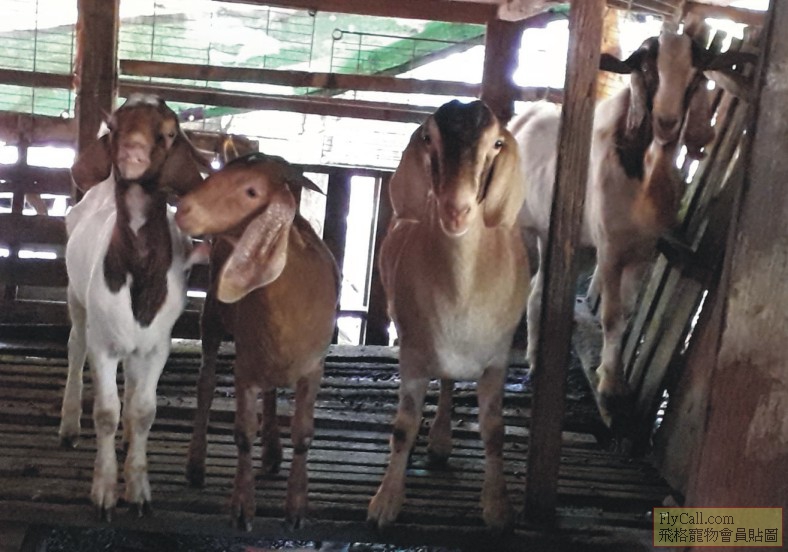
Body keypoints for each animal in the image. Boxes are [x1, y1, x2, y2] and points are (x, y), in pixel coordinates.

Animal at [58, 94, 207, 519]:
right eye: (114, 126)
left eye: (169, 132)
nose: (132, 152)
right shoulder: (103, 344)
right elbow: (106, 412)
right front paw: (105, 491)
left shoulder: (158, 345)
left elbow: (144, 411)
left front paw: (138, 489)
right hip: (78, 300)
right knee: (75, 348)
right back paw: (69, 426)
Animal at [175, 153, 339, 531]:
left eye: (251, 191)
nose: (183, 210)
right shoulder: (245, 368)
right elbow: (243, 435)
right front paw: (241, 507)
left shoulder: (313, 370)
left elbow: (303, 434)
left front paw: (296, 509)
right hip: (213, 314)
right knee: (206, 385)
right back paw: (195, 464)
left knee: (272, 391)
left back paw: (273, 454)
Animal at [367, 100, 528, 532]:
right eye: (428, 137)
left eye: (496, 143)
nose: (456, 210)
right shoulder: (413, 353)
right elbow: (403, 427)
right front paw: (385, 503)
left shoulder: (496, 360)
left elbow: (494, 431)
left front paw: (497, 508)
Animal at [513, 25, 751, 404]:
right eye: (648, 70)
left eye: (695, 76)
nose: (667, 123)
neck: (639, 172)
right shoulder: (610, 248)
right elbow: (610, 315)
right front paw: (609, 383)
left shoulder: (642, 250)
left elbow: (625, 313)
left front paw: (615, 376)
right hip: (526, 228)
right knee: (530, 286)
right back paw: (533, 361)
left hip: (566, 237)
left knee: (538, 289)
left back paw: (537, 360)